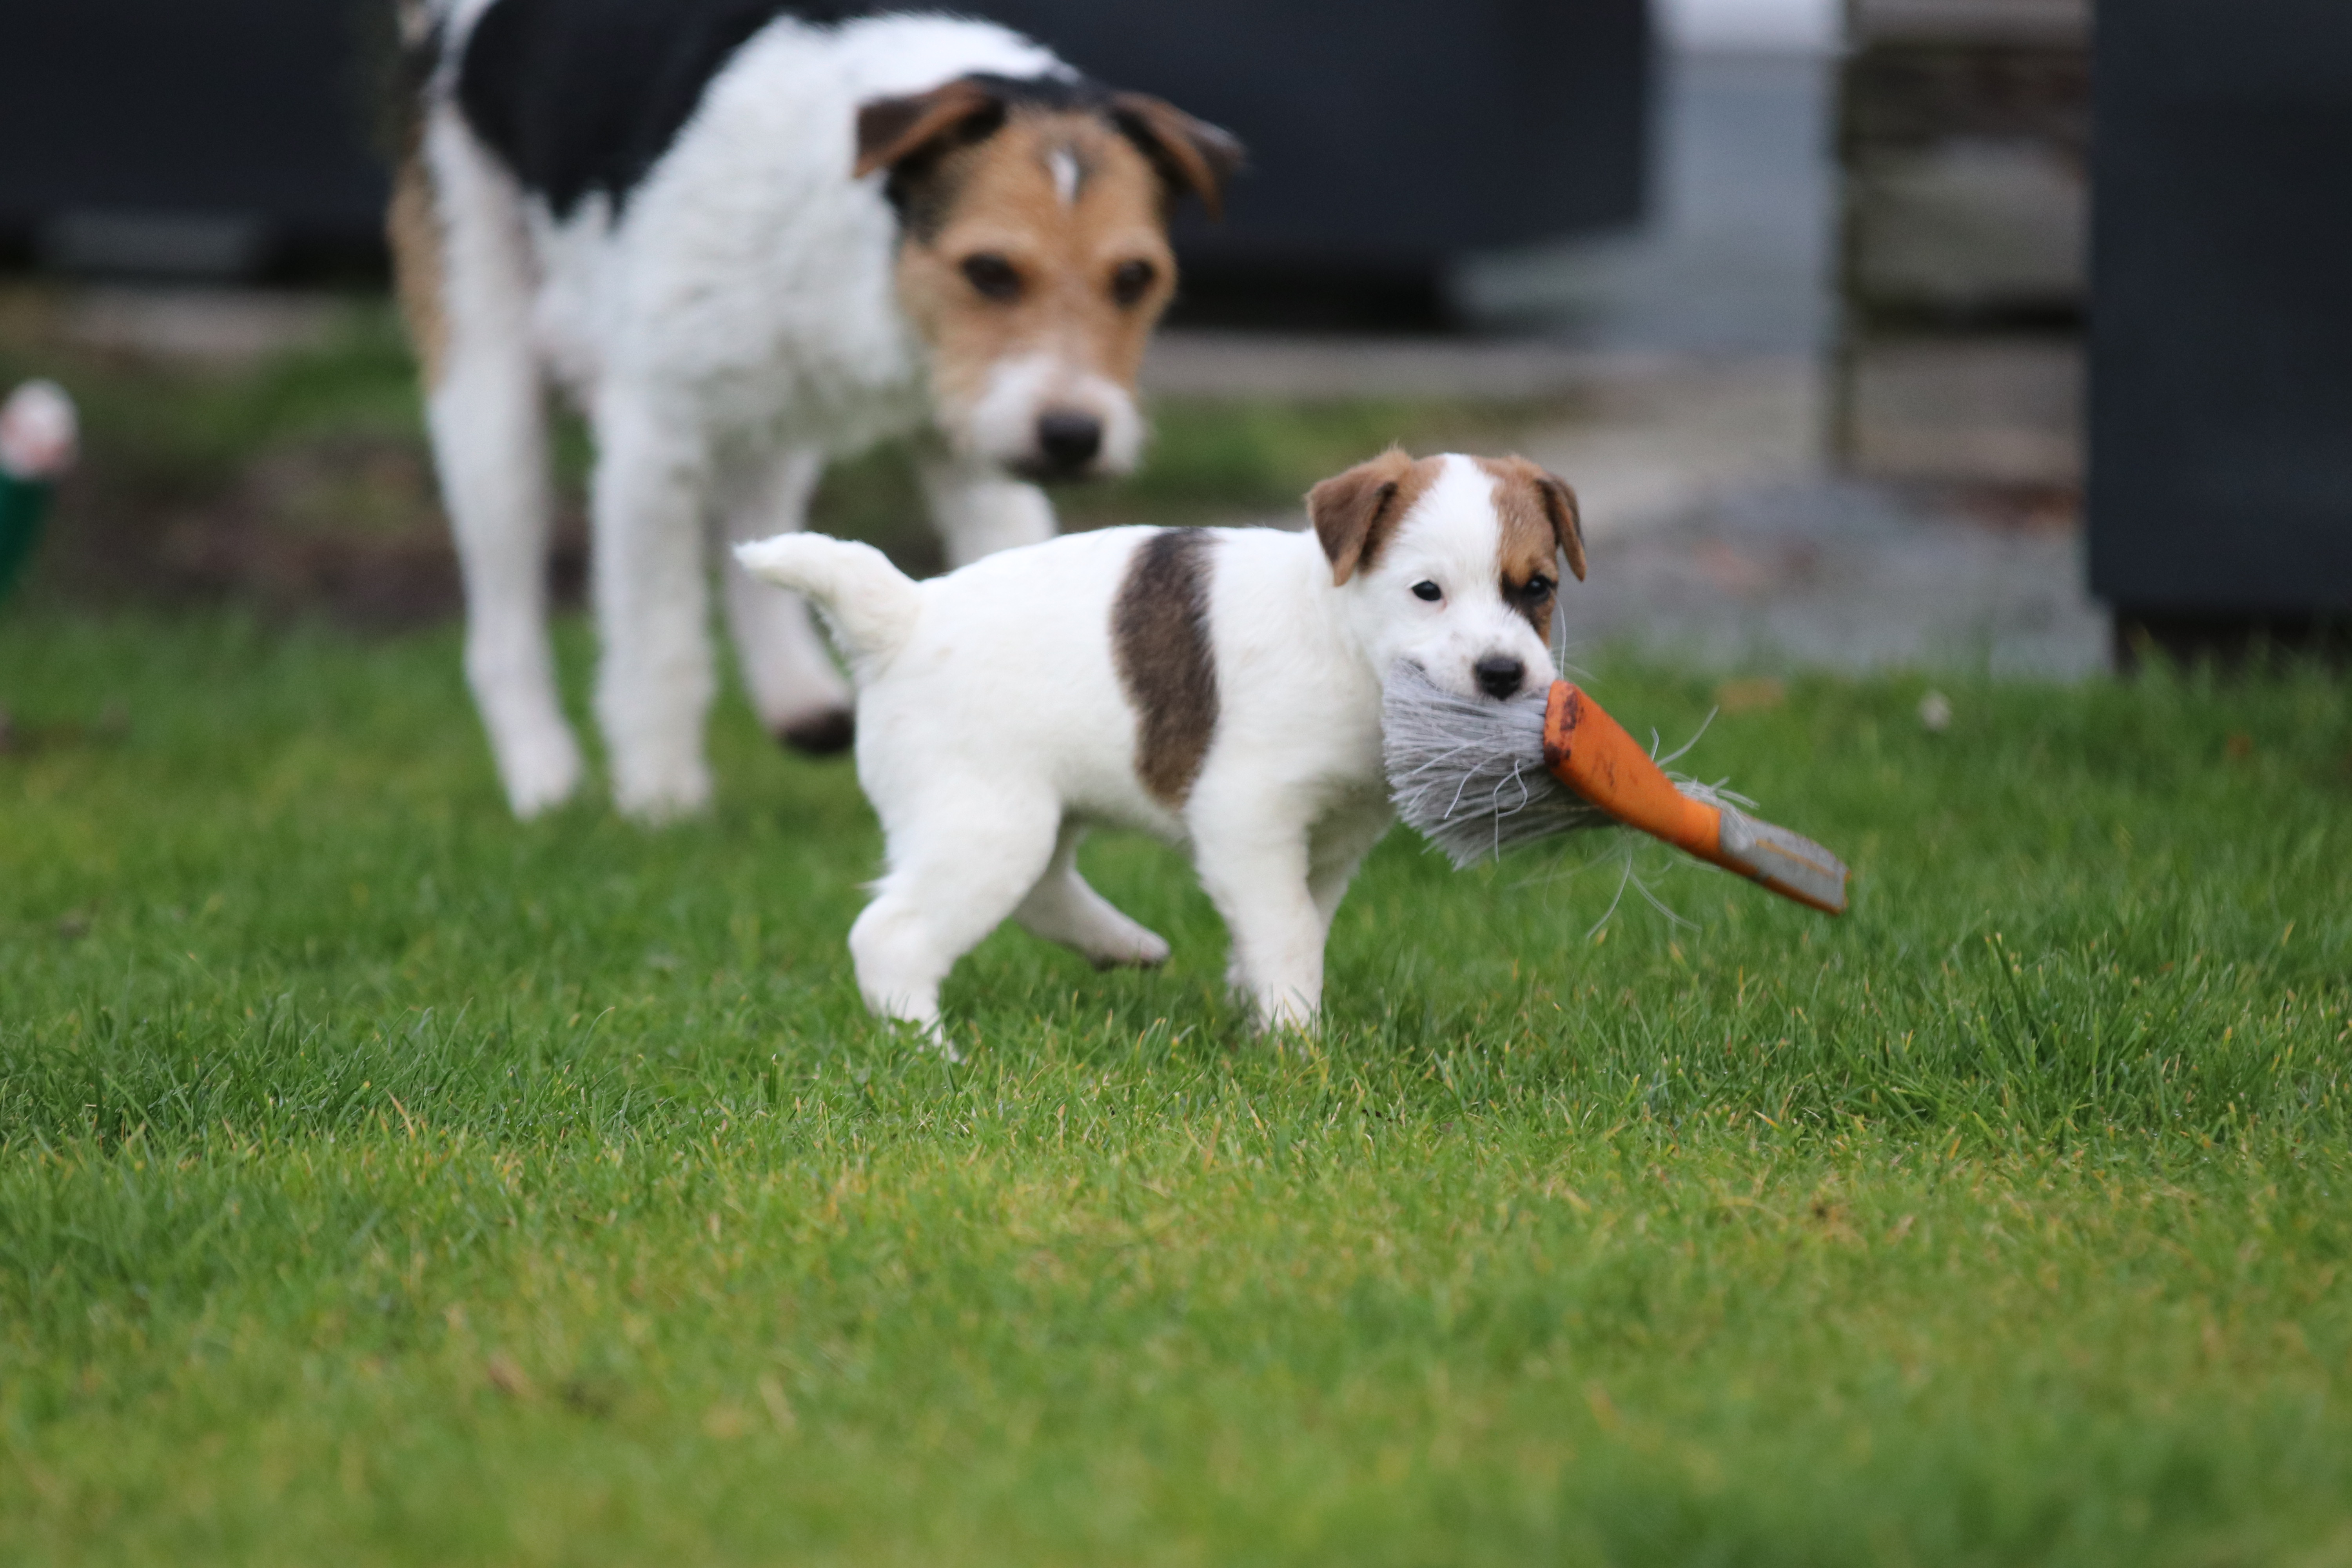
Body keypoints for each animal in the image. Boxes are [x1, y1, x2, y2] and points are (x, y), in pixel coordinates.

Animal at [392, 0, 1242, 820]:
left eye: (1134, 277)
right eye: (990, 270)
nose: (1071, 437)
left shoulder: (973, 449)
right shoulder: (656, 437)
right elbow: (660, 637)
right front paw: (662, 799)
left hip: (771, 410)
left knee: (757, 521)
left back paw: (796, 699)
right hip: (489, 380)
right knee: (504, 621)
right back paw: (546, 784)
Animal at [736, 450, 1587, 1033]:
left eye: (1538, 588)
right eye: (1426, 591)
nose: (1503, 674)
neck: (1342, 637)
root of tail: (903, 614)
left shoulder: (1335, 837)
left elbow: (1296, 923)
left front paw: (1259, 1007)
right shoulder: (1248, 816)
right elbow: (1286, 931)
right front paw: (1296, 1041)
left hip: (1030, 809)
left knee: (1042, 891)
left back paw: (1123, 944)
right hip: (988, 820)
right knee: (893, 934)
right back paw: (929, 1051)